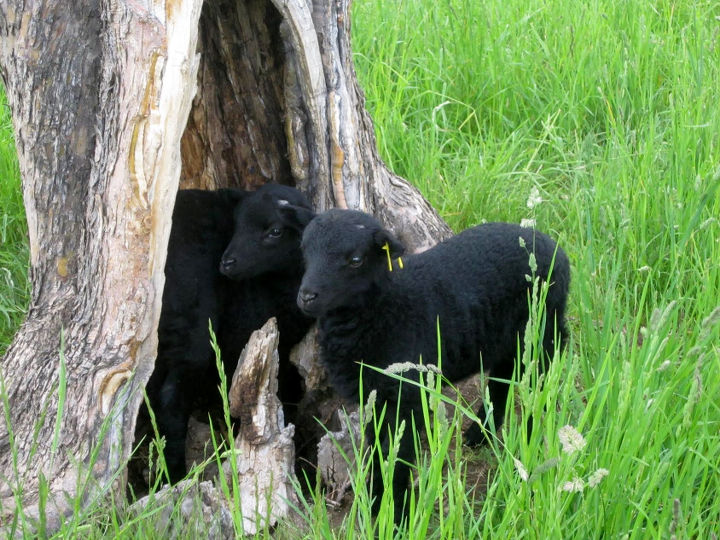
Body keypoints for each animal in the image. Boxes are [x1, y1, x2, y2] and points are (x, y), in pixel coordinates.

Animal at [144, 184, 316, 484]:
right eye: (236, 225)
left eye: (275, 231)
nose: (227, 263)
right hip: (194, 327)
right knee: (170, 398)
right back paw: (175, 475)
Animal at [296, 209, 572, 524]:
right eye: (304, 251)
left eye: (355, 259)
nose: (306, 296)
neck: (384, 308)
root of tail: (552, 246)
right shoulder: (374, 395)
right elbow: (378, 449)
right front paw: (378, 502)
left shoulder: (406, 396)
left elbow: (398, 453)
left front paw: (395, 514)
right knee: (502, 381)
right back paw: (480, 434)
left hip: (543, 333)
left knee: (539, 389)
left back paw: (529, 442)